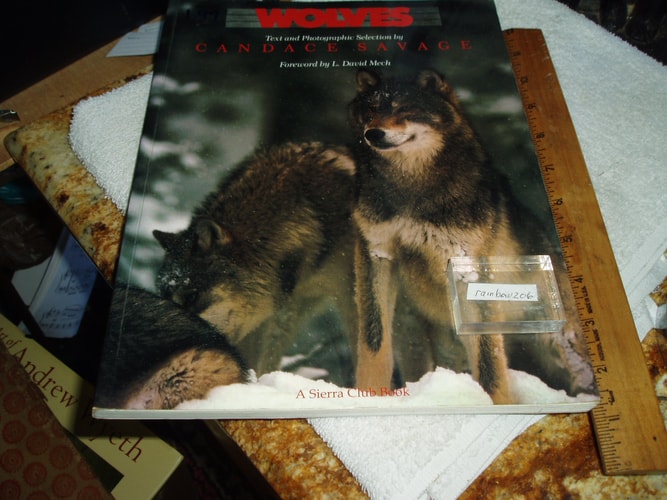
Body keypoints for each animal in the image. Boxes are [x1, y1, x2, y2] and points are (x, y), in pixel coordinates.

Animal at [348, 68, 573, 403]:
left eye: (404, 109)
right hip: (414, 328)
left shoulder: (468, 270)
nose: (373, 133)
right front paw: (368, 398)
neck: (412, 191)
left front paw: (494, 405)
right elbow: (374, 344)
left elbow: (489, 363)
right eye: (372, 110)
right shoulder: (376, 254)